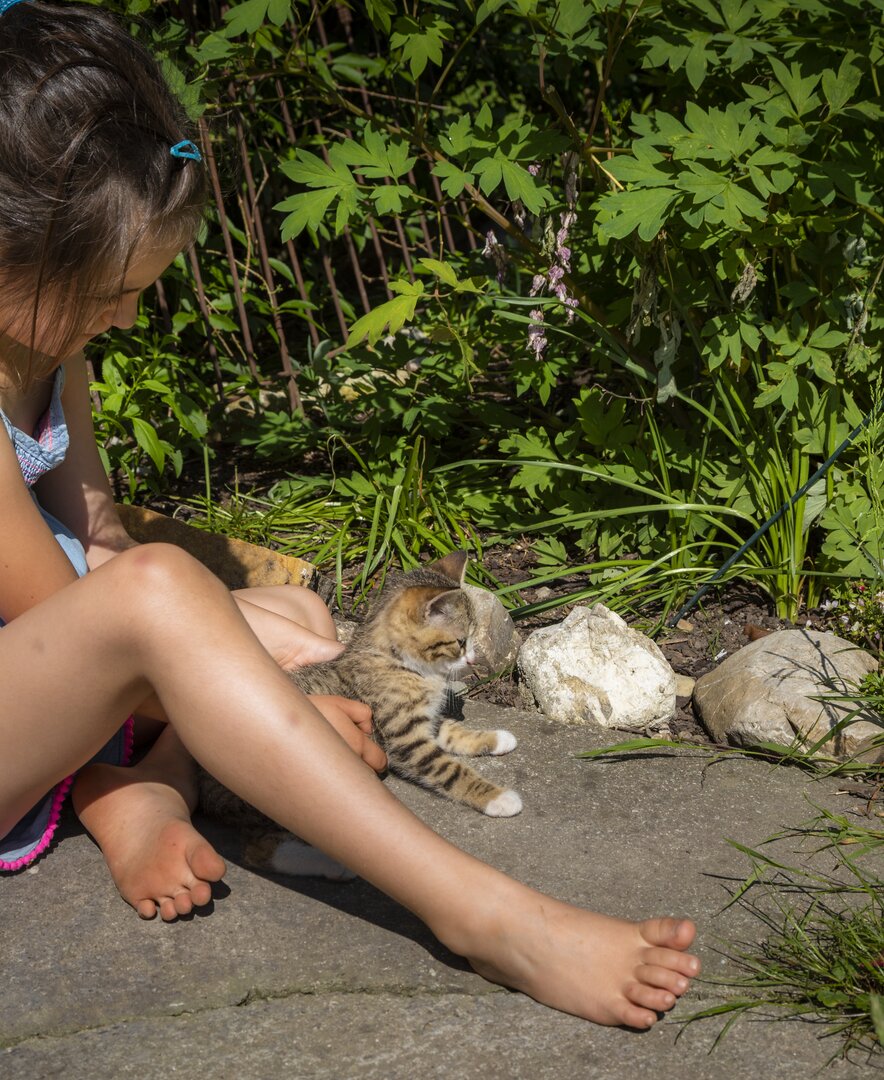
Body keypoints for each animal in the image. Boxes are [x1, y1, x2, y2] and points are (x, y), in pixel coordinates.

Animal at [197, 548, 522, 876]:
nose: (473, 661)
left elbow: (453, 732)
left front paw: (497, 739)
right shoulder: (405, 740)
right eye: (460, 642)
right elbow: (449, 769)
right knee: (259, 849)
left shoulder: (424, 721)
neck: (403, 664)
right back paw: (332, 865)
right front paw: (497, 797)